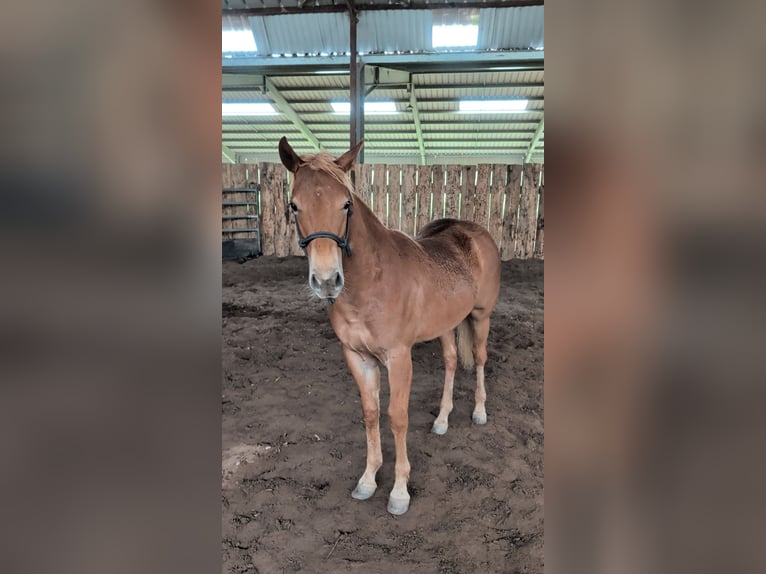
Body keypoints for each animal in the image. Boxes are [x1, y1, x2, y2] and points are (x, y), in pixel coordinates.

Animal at [279, 137, 501, 515]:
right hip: (446, 324)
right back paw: (442, 420)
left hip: (481, 316)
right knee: (452, 361)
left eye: (346, 205)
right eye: (295, 206)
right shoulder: (357, 357)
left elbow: (397, 417)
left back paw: (479, 412)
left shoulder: (399, 357)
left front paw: (399, 491)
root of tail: (475, 232)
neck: (372, 280)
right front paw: (368, 480)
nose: (327, 281)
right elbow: (371, 413)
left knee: (482, 359)